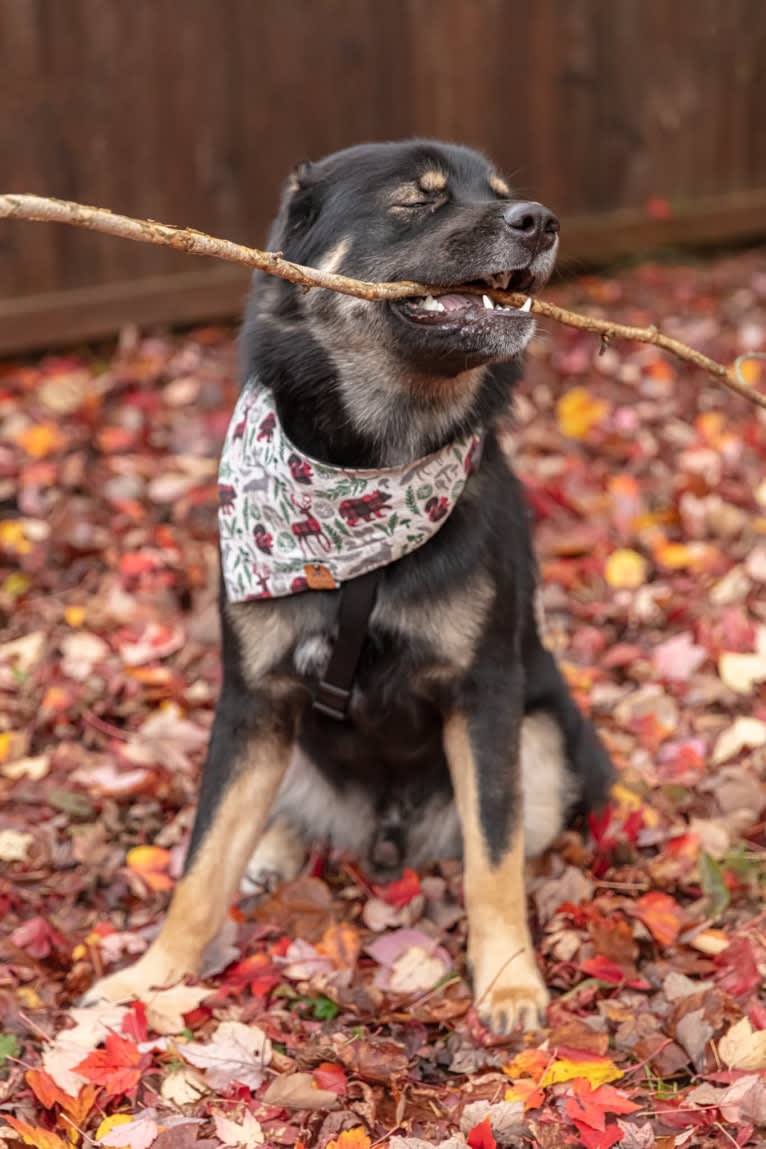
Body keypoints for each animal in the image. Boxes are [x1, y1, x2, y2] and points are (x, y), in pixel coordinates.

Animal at [86, 139, 615, 1029]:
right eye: (416, 200)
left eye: (501, 192)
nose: (539, 221)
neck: (372, 471)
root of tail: (383, 837)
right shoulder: (254, 696)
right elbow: (201, 860)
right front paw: (150, 977)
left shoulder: (487, 692)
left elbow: (494, 853)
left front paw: (509, 979)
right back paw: (269, 852)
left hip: (546, 734)